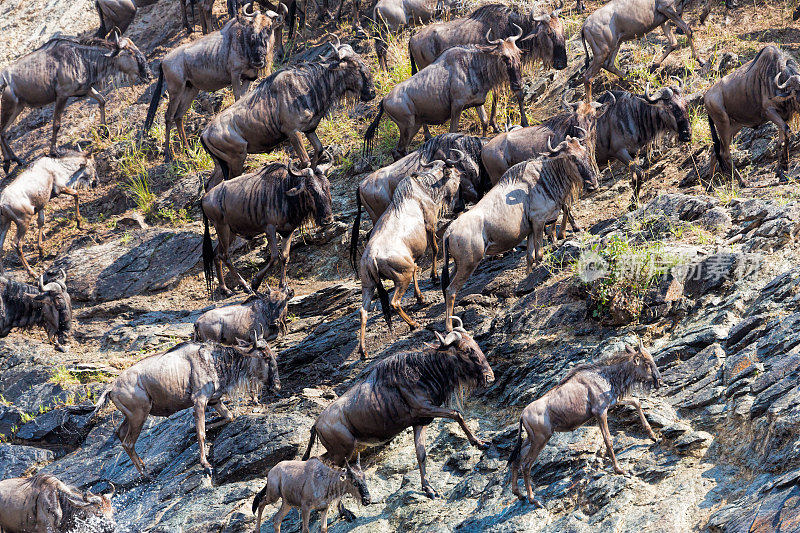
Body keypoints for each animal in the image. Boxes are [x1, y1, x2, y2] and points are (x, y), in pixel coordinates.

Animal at [512, 340, 664, 502]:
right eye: (647, 362)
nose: (659, 382)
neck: (606, 376)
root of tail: (522, 415)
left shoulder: (612, 402)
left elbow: (636, 402)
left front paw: (652, 436)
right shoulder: (600, 412)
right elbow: (608, 440)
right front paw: (619, 469)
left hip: (530, 439)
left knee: (516, 458)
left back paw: (519, 493)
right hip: (541, 439)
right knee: (526, 464)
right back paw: (533, 499)